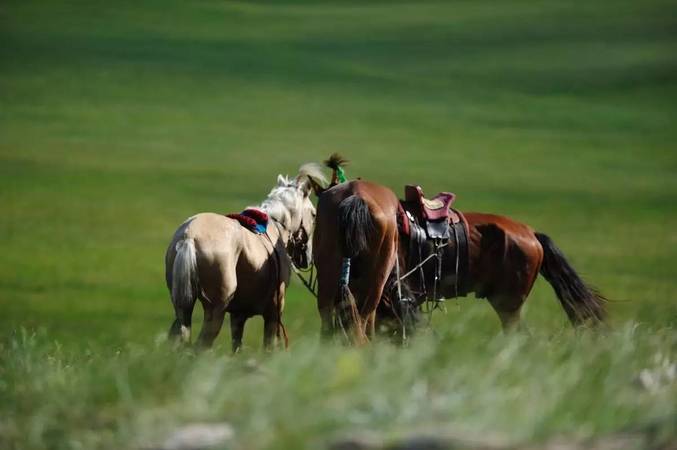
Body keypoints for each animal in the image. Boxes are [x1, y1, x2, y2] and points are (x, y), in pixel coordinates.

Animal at [162, 164, 324, 352]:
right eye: (314, 214)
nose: (307, 258)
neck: (276, 228)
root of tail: (189, 235)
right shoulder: (273, 313)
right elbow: (268, 348)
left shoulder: (238, 316)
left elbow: (236, 348)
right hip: (215, 311)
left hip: (182, 308)